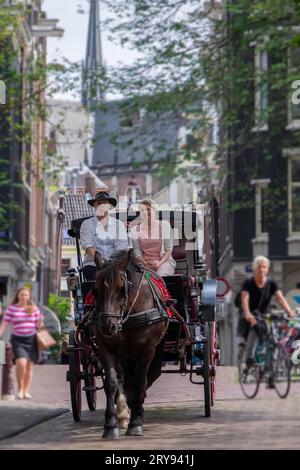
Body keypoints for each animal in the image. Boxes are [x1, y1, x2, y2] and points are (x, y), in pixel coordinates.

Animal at [90, 250, 169, 436]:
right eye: (95, 291)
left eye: (122, 288)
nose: (108, 326)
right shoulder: (105, 348)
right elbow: (111, 383)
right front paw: (111, 425)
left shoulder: (147, 349)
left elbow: (141, 382)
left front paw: (136, 423)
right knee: (124, 379)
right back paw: (124, 413)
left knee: (147, 377)